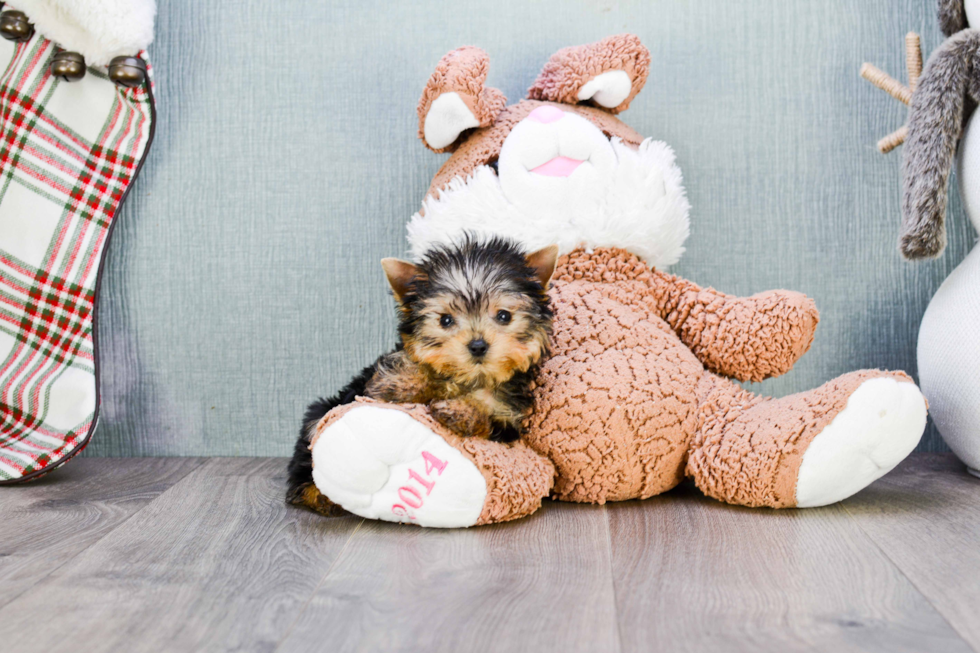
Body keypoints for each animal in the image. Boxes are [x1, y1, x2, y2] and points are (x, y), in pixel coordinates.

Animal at [288, 236, 556, 516]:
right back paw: (317, 493)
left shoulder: (508, 417)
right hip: (320, 413)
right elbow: (412, 365)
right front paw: (399, 384)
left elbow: (487, 413)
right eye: (445, 320)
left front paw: (461, 411)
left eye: (504, 315)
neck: (466, 378)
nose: (478, 345)